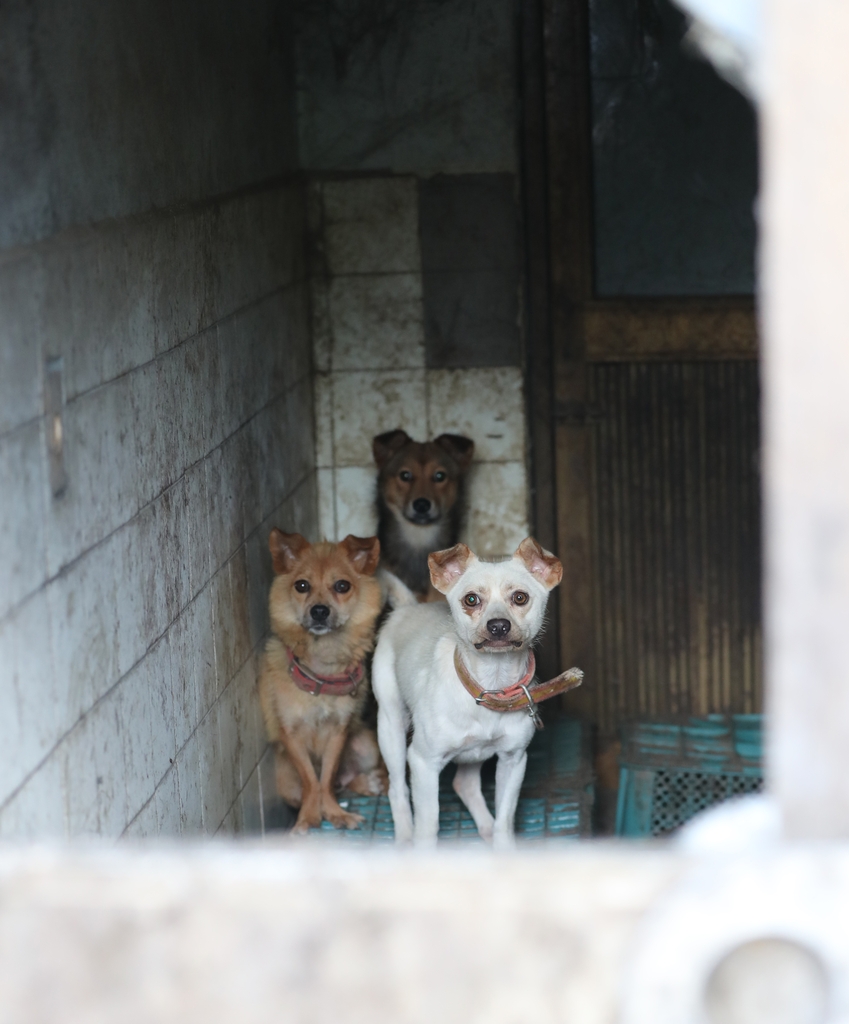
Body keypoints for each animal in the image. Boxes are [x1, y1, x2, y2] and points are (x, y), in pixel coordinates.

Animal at [258, 528, 387, 831]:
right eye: (302, 585)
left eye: (342, 586)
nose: (319, 611)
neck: (321, 675)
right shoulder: (291, 735)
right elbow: (311, 780)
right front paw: (308, 818)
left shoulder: (339, 733)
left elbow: (326, 778)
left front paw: (334, 813)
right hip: (285, 781)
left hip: (365, 745)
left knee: (344, 780)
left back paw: (369, 783)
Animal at [374, 536, 581, 847]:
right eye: (471, 600)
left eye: (520, 597)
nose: (498, 626)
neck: (490, 685)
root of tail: (408, 607)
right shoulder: (423, 763)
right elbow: (429, 825)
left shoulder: (513, 761)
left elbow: (505, 822)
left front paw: (503, 849)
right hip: (391, 729)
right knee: (397, 789)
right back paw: (404, 837)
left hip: (476, 753)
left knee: (465, 784)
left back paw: (484, 828)